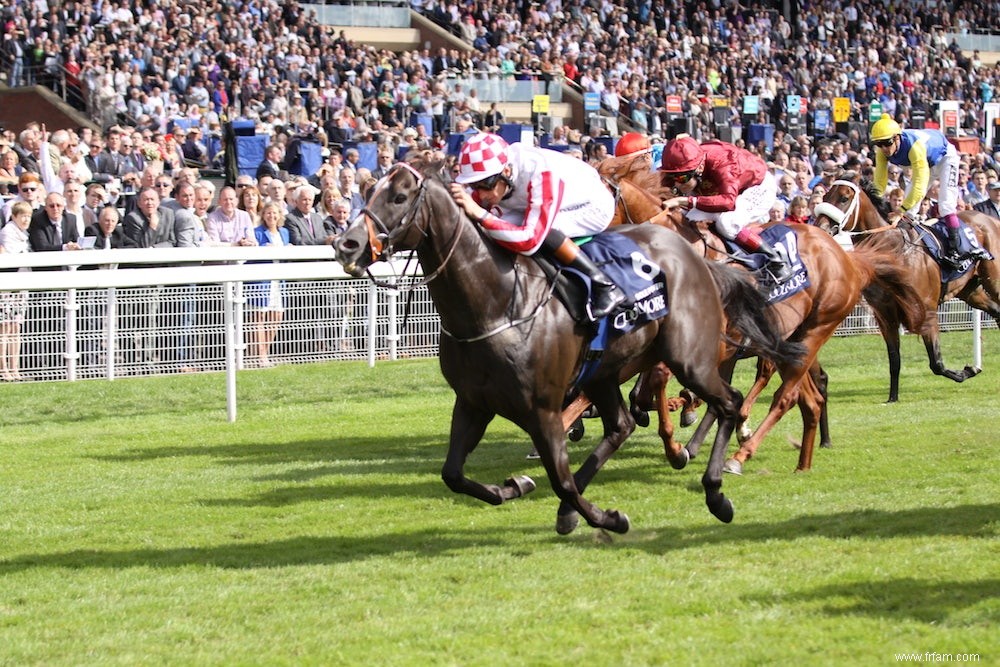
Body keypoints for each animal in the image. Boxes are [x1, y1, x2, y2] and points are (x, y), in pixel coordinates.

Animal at [336, 155, 804, 532]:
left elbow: (559, 478)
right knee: (621, 425)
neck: (498, 305)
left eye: (399, 196)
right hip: (606, 371)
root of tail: (696, 257)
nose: (347, 244)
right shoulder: (473, 402)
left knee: (729, 401)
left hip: (689, 359)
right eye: (366, 190)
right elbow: (452, 473)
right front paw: (513, 488)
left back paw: (716, 491)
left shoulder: (541, 407)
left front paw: (609, 518)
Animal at [604, 172, 924, 474]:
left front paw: (681, 428)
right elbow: (643, 386)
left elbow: (660, 381)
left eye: (845, 197)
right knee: (805, 390)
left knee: (786, 395)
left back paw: (740, 454)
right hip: (789, 338)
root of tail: (849, 260)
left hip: (815, 329)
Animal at [812, 179, 1000, 402]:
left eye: (843, 198)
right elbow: (894, 360)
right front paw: (892, 398)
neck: (892, 251)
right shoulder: (885, 315)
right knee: (997, 312)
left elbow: (936, 363)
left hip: (993, 281)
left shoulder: (925, 310)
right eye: (824, 196)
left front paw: (968, 370)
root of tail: (992, 220)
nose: (820, 228)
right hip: (970, 291)